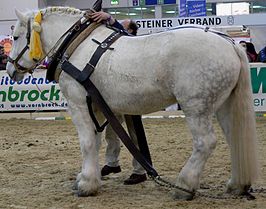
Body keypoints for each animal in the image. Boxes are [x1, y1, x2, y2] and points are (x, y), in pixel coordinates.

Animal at [6, 6, 260, 199]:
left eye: (16, 37)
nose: (10, 70)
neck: (77, 47)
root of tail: (229, 43)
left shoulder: (78, 104)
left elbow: (86, 143)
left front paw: (86, 185)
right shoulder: (96, 107)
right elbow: (97, 142)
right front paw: (89, 177)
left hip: (196, 106)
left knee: (205, 143)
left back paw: (184, 186)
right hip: (224, 105)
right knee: (234, 138)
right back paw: (236, 185)